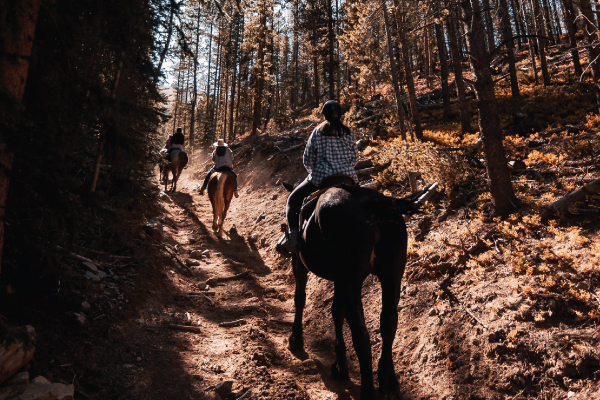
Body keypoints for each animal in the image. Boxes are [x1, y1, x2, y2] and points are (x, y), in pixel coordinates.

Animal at [284, 183, 438, 398]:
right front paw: (340, 365)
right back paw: (388, 381)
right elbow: (336, 311)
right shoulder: (340, 280)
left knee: (361, 333)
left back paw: (368, 389)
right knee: (389, 321)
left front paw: (296, 339)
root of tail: (377, 206)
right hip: (391, 276)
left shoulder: (299, 262)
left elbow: (301, 297)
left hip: (353, 279)